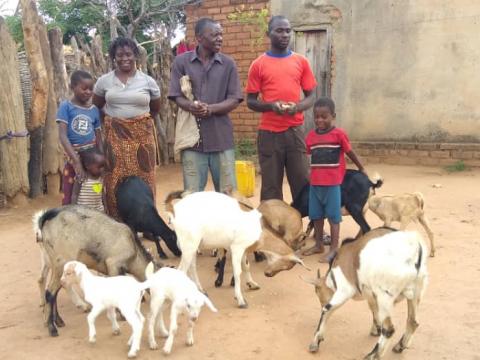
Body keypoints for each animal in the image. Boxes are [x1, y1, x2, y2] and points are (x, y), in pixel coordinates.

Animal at [304, 229, 428, 358]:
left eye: (318, 292)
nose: (321, 303)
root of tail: (414, 248)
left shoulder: (345, 289)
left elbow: (327, 310)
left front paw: (314, 343)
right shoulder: (371, 295)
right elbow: (373, 310)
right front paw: (375, 330)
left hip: (385, 296)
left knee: (389, 329)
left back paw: (371, 356)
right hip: (417, 291)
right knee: (413, 322)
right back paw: (399, 346)